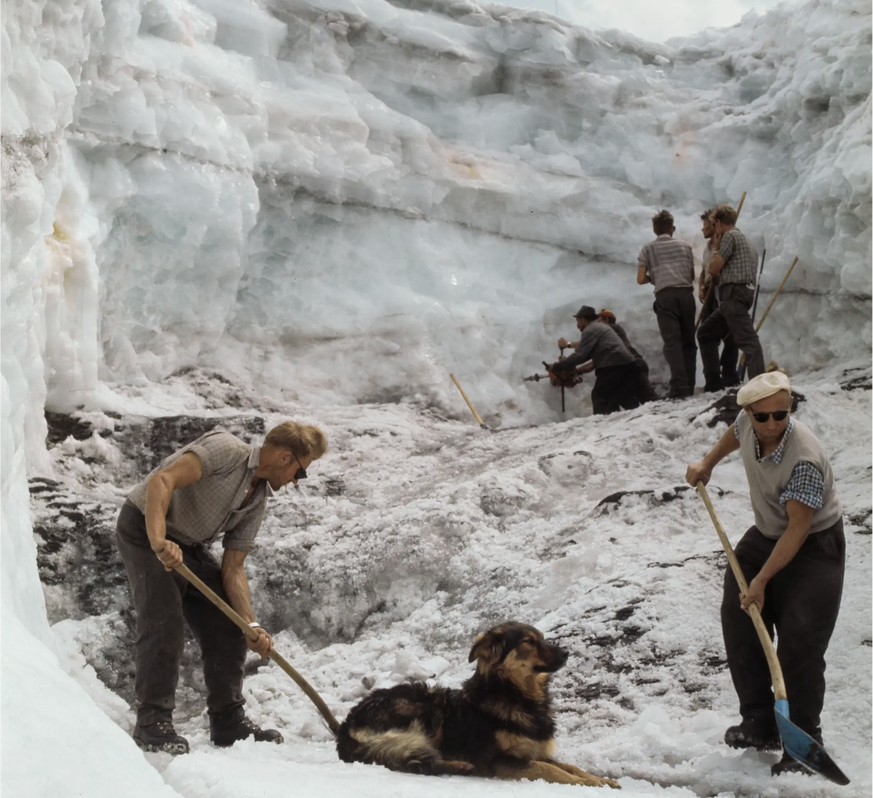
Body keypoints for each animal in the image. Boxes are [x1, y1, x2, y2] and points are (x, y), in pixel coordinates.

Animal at [336, 624, 620, 788]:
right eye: (528, 641)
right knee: (413, 761)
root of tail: (347, 724)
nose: (566, 653)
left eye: (542, 638)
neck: (516, 696)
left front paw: (599, 779)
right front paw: (590, 784)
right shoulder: (501, 760)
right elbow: (550, 770)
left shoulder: (536, 751)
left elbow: (569, 766)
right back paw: (458, 766)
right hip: (426, 705)